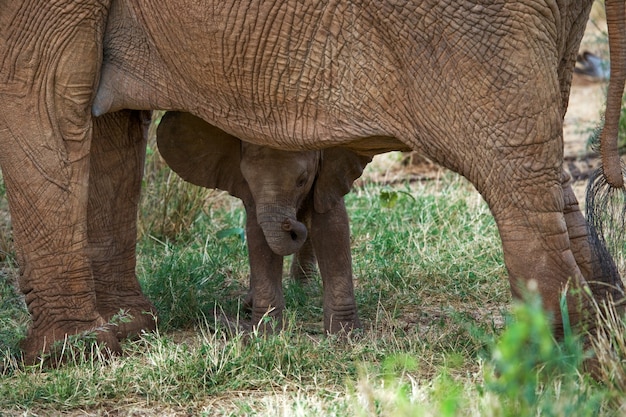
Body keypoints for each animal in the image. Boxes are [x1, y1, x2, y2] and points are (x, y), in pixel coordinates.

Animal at [157, 112, 370, 334]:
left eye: (302, 181)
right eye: (247, 180)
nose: (288, 224)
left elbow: (331, 228)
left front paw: (345, 335)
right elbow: (258, 236)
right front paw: (266, 333)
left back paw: (300, 290)